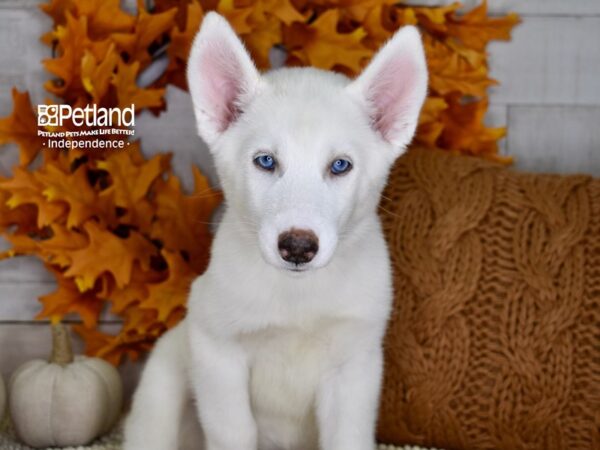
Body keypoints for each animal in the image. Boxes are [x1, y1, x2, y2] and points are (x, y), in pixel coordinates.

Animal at [124, 12, 428, 450]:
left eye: (340, 165)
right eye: (265, 161)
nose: (298, 247)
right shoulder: (217, 351)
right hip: (162, 384)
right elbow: (234, 433)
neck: (296, 297)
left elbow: (347, 436)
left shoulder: (355, 366)